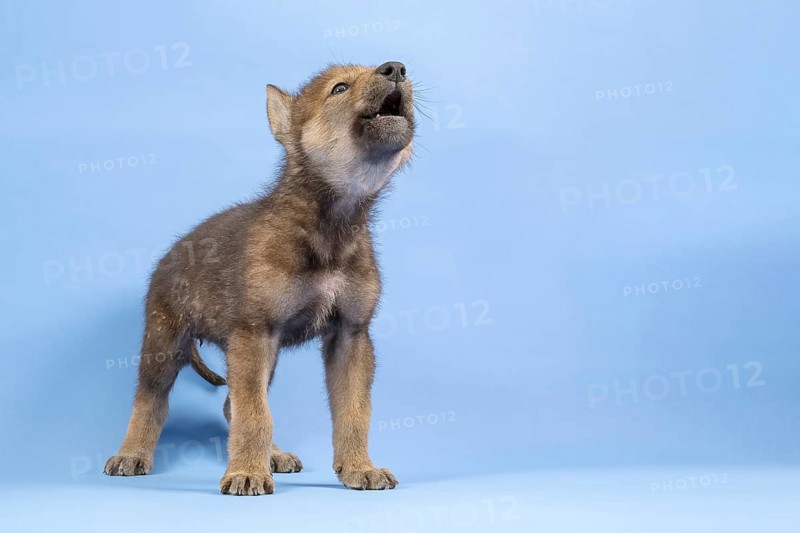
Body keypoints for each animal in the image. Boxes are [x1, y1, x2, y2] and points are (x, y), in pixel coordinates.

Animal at [103, 61, 414, 495]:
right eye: (339, 88)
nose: (396, 68)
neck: (330, 226)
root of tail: (168, 255)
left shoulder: (350, 336)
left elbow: (353, 411)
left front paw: (358, 467)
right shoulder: (254, 334)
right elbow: (255, 413)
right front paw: (246, 473)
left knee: (229, 402)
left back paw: (274, 455)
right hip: (165, 343)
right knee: (151, 401)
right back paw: (132, 453)